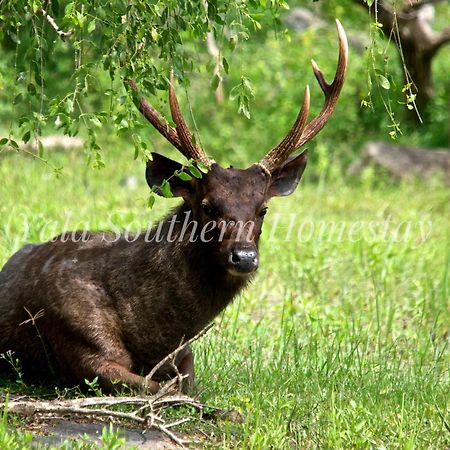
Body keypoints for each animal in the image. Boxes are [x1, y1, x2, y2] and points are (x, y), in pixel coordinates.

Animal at [0, 21, 348, 394]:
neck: (154, 338)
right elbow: (167, 391)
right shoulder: (81, 347)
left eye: (263, 209)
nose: (244, 257)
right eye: (208, 206)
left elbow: (186, 386)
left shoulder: (185, 353)